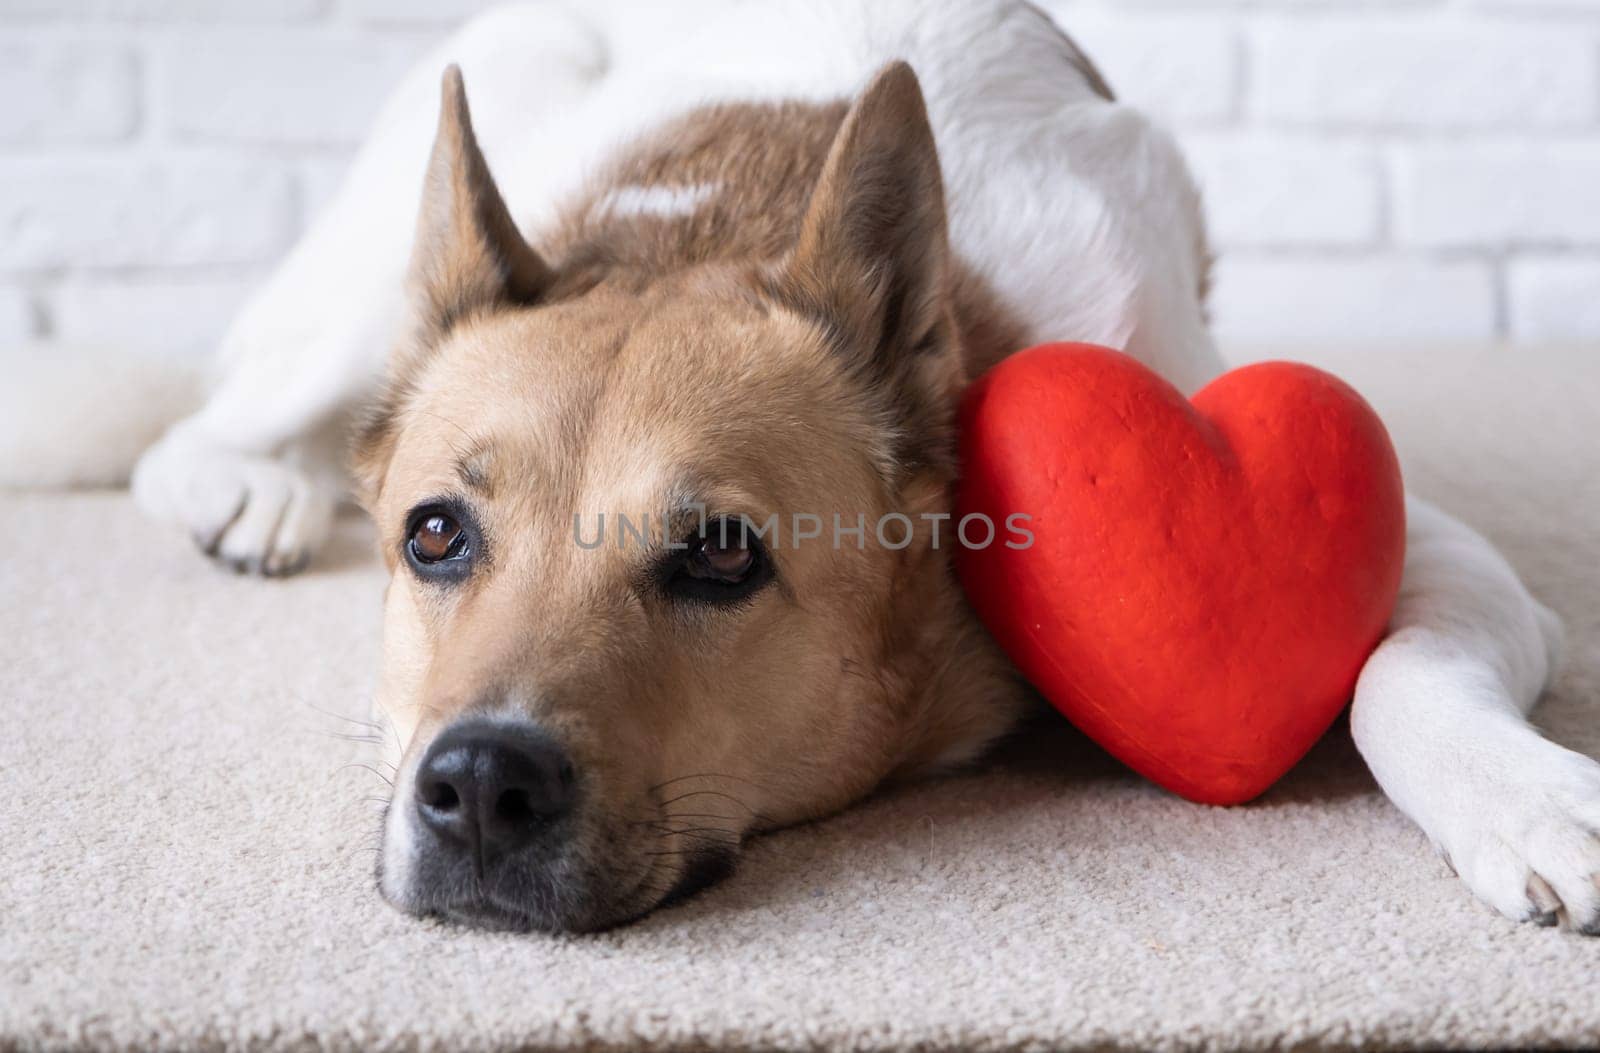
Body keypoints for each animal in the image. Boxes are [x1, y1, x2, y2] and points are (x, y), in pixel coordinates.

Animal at [128, 0, 1600, 928]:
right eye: (435, 536)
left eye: (721, 557)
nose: (480, 785)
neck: (719, 228)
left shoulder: (1417, 536)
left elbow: (1397, 674)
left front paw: (1524, 799)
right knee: (204, 423)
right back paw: (254, 488)